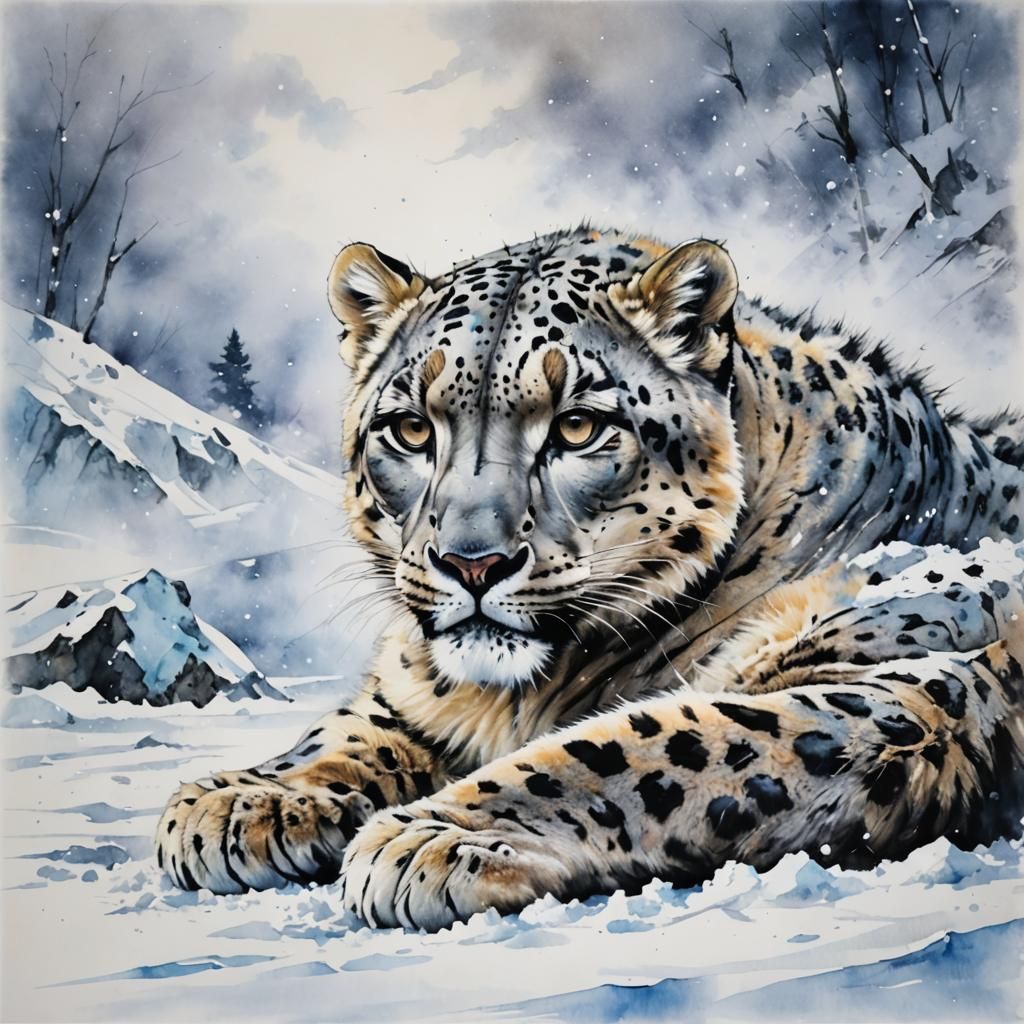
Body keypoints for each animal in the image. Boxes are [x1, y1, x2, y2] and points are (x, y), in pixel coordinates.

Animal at [157, 226, 1024, 931]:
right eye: (410, 428)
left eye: (577, 425)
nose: (472, 562)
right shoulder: (415, 693)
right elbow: (356, 726)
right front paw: (243, 798)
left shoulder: (903, 684)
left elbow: (654, 743)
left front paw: (437, 835)